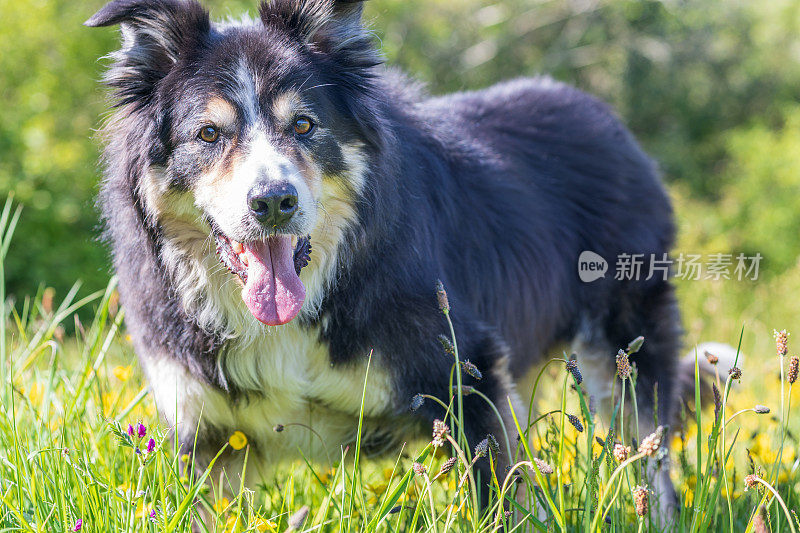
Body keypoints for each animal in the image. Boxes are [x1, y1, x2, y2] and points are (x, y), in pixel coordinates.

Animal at [89, 0, 688, 496]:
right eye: (209, 134)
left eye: (303, 124)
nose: (274, 202)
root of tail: (612, 122)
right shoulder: (205, 427)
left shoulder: (469, 375)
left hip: (622, 343)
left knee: (650, 458)